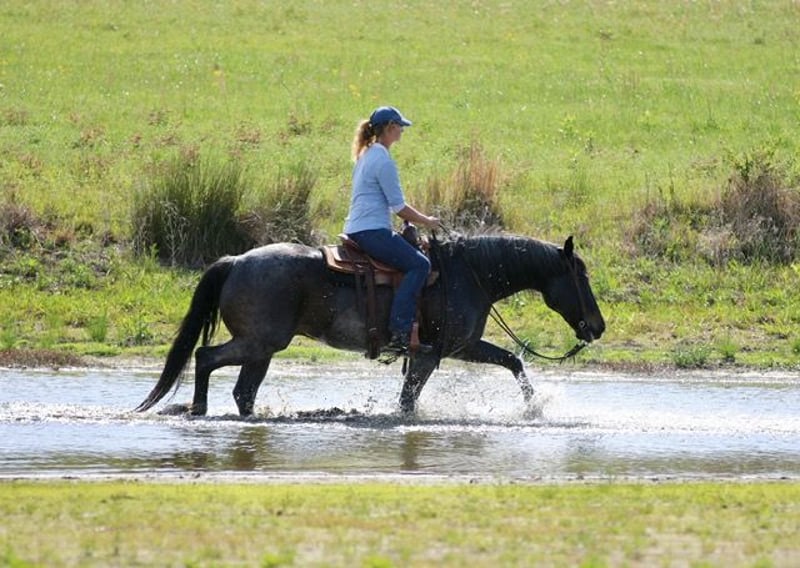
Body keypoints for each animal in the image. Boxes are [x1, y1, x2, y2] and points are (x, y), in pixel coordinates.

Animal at [135, 234, 605, 416]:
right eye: (580, 278)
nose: (597, 327)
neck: (468, 274)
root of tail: (236, 261)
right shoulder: (436, 353)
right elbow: (409, 399)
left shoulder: (462, 347)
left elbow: (512, 361)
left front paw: (534, 406)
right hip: (257, 343)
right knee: (205, 357)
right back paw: (198, 408)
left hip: (262, 349)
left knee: (242, 390)